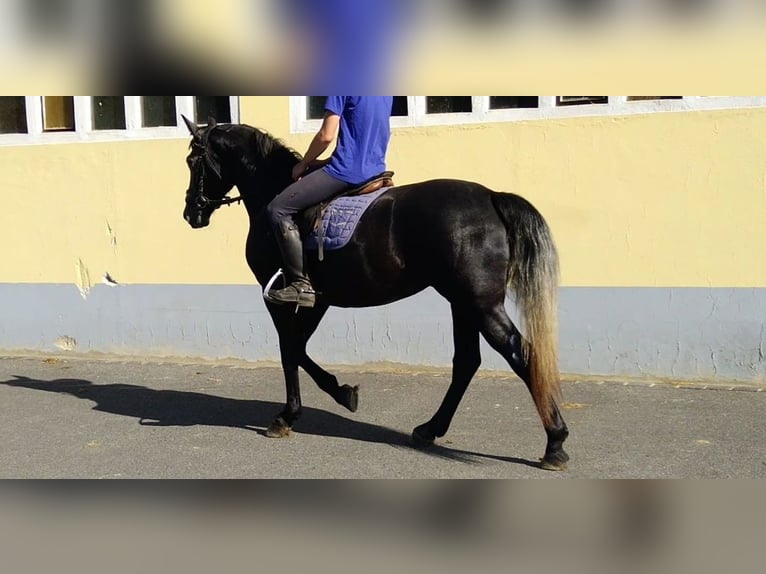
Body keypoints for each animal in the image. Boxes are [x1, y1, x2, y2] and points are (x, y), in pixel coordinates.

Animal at [181, 116, 570, 471]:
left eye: (191, 161)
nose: (191, 213)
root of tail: (491, 197)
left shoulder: (282, 299)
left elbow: (289, 351)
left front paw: (290, 415)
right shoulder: (318, 301)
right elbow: (299, 349)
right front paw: (341, 392)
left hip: (479, 304)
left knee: (520, 354)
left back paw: (555, 443)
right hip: (463, 303)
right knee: (466, 362)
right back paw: (430, 429)